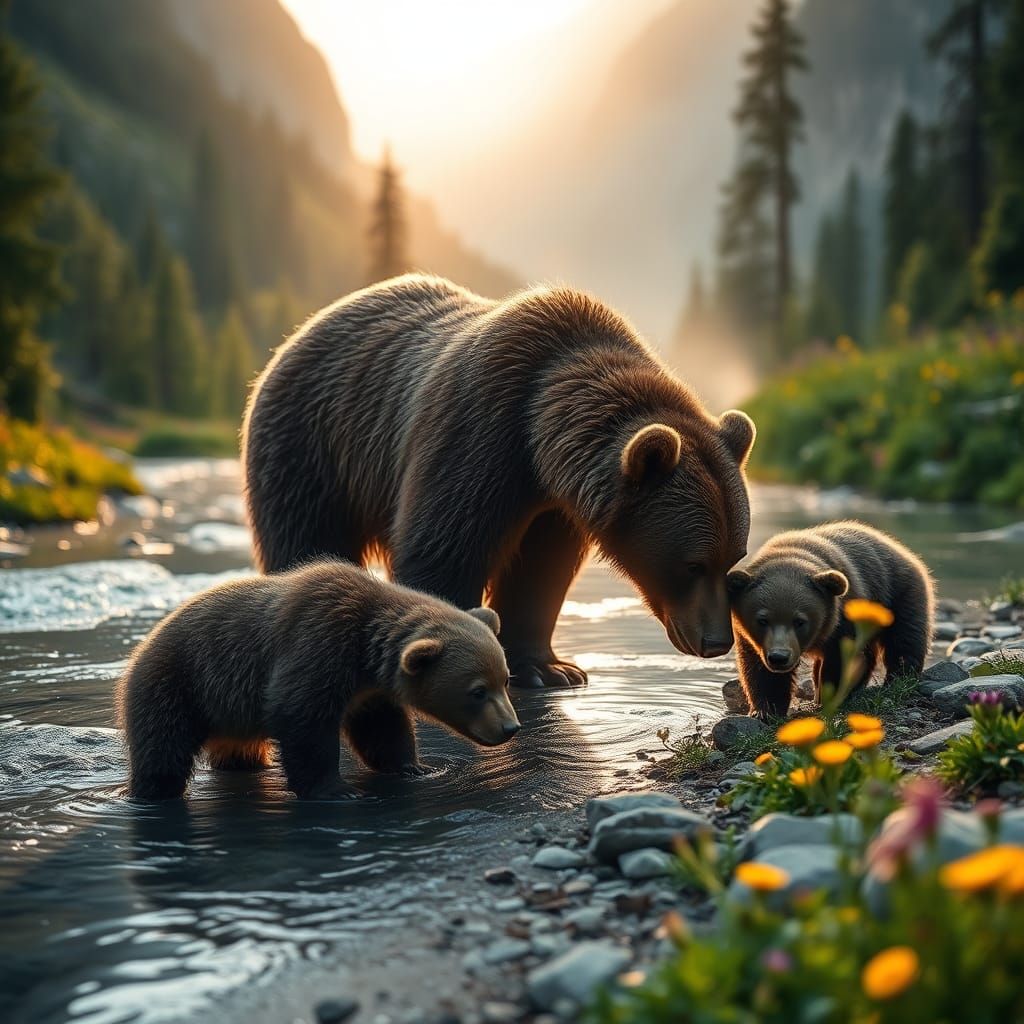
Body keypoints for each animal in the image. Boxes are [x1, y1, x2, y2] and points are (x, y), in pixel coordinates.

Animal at [115, 559, 519, 800]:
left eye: (505, 679)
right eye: (478, 691)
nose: (510, 727)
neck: (365, 649)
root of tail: (141, 647)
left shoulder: (367, 689)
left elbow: (382, 725)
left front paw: (415, 766)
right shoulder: (317, 642)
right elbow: (300, 715)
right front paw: (335, 788)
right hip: (179, 683)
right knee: (163, 745)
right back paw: (151, 791)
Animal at [242, 274, 756, 689]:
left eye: (733, 560)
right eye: (693, 564)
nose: (715, 641)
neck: (539, 440)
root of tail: (299, 334)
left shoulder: (555, 506)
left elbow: (541, 571)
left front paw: (550, 668)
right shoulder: (478, 433)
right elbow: (443, 549)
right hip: (313, 448)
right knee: (305, 539)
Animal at [727, 520, 934, 720]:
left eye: (799, 621)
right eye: (762, 620)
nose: (779, 657)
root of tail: (902, 550)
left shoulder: (845, 618)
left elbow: (841, 660)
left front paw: (832, 697)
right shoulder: (750, 638)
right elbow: (760, 671)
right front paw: (765, 711)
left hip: (896, 594)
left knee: (905, 638)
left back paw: (899, 678)